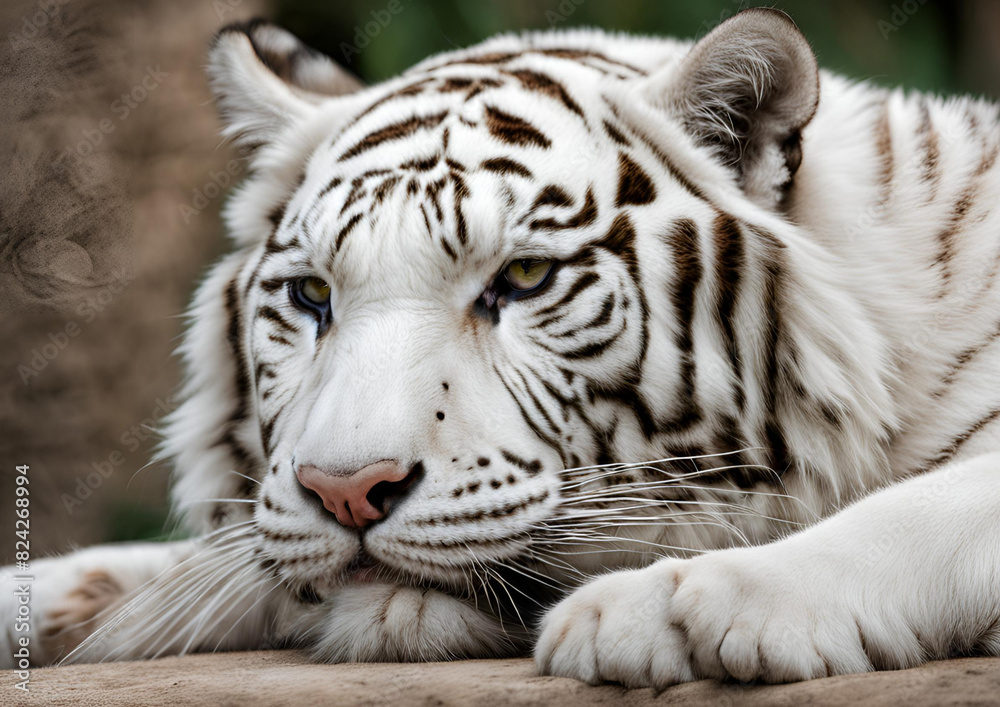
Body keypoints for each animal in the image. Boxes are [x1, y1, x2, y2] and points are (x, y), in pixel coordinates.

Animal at [4, 7, 999, 689]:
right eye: (313, 294)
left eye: (522, 279)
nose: (346, 490)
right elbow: (178, 564)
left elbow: (922, 505)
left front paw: (668, 604)